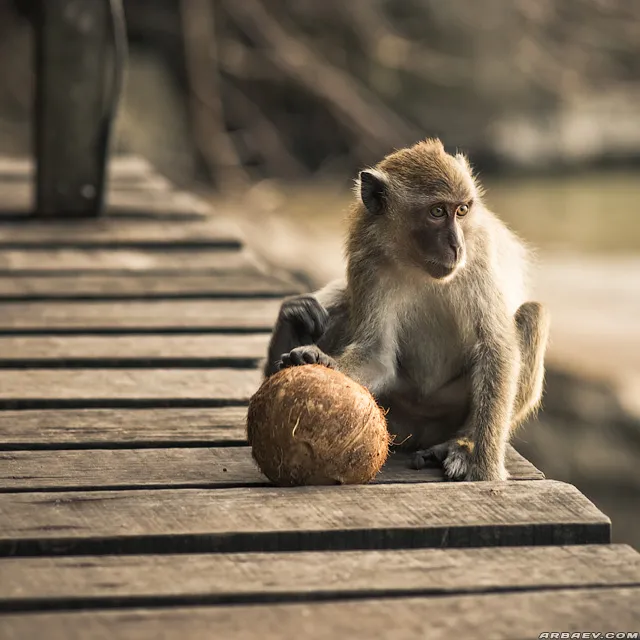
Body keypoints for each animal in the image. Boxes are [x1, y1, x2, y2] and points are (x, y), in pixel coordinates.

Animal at [264, 138, 549, 482]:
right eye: (437, 212)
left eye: (462, 210)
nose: (456, 246)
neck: (416, 262)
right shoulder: (367, 258)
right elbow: (376, 354)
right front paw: (315, 357)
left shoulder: (479, 250)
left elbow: (496, 347)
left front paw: (485, 470)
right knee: (341, 305)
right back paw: (290, 329)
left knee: (532, 315)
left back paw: (460, 445)